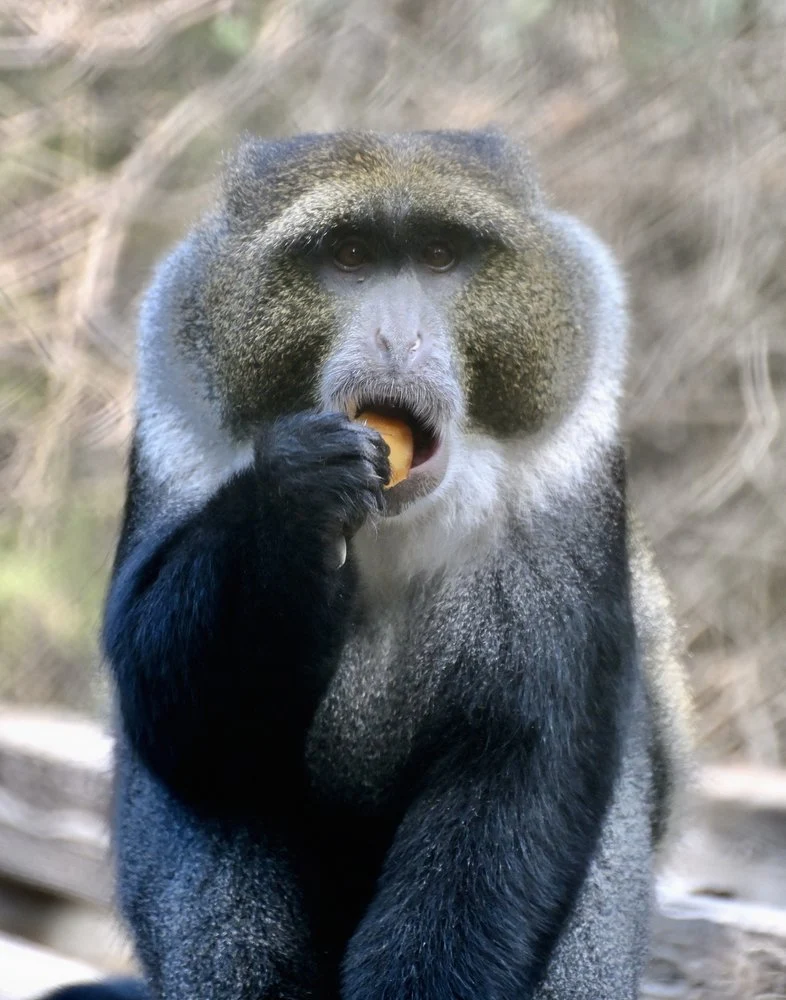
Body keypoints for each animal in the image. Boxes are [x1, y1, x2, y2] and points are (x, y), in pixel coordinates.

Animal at [49, 129, 693, 1000]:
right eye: (349, 255)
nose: (398, 341)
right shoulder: (173, 427)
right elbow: (174, 706)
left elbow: (522, 758)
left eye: (440, 254)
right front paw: (293, 499)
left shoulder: (573, 473)